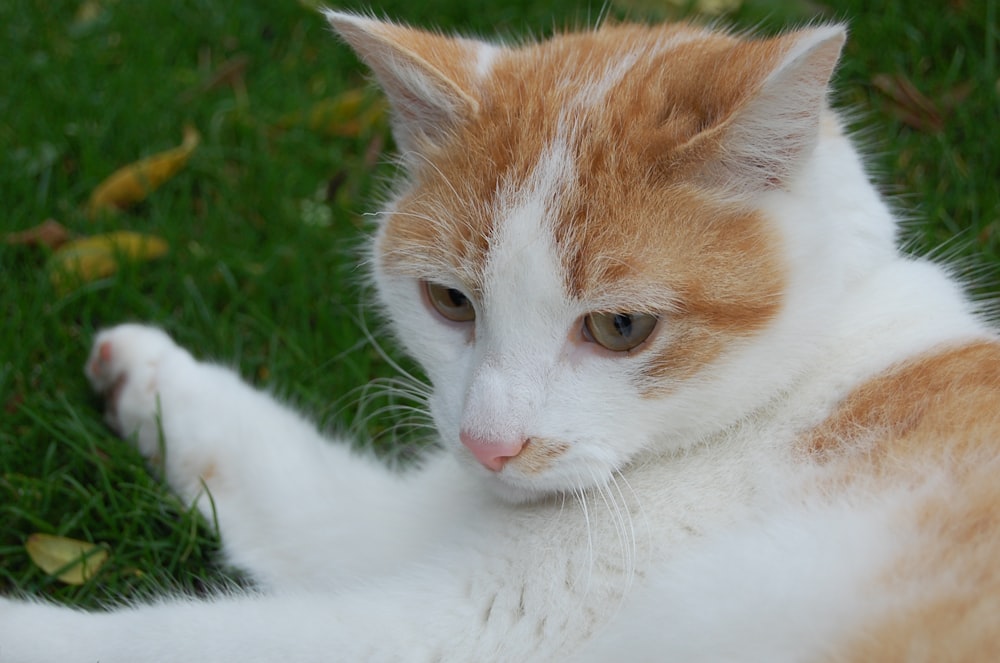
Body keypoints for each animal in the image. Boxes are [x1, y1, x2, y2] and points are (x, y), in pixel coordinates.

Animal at [1, 10, 1000, 663]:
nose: (489, 444)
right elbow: (296, 479)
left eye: (620, 326)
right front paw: (150, 375)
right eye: (449, 301)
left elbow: (170, 633)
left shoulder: (473, 627)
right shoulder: (412, 522)